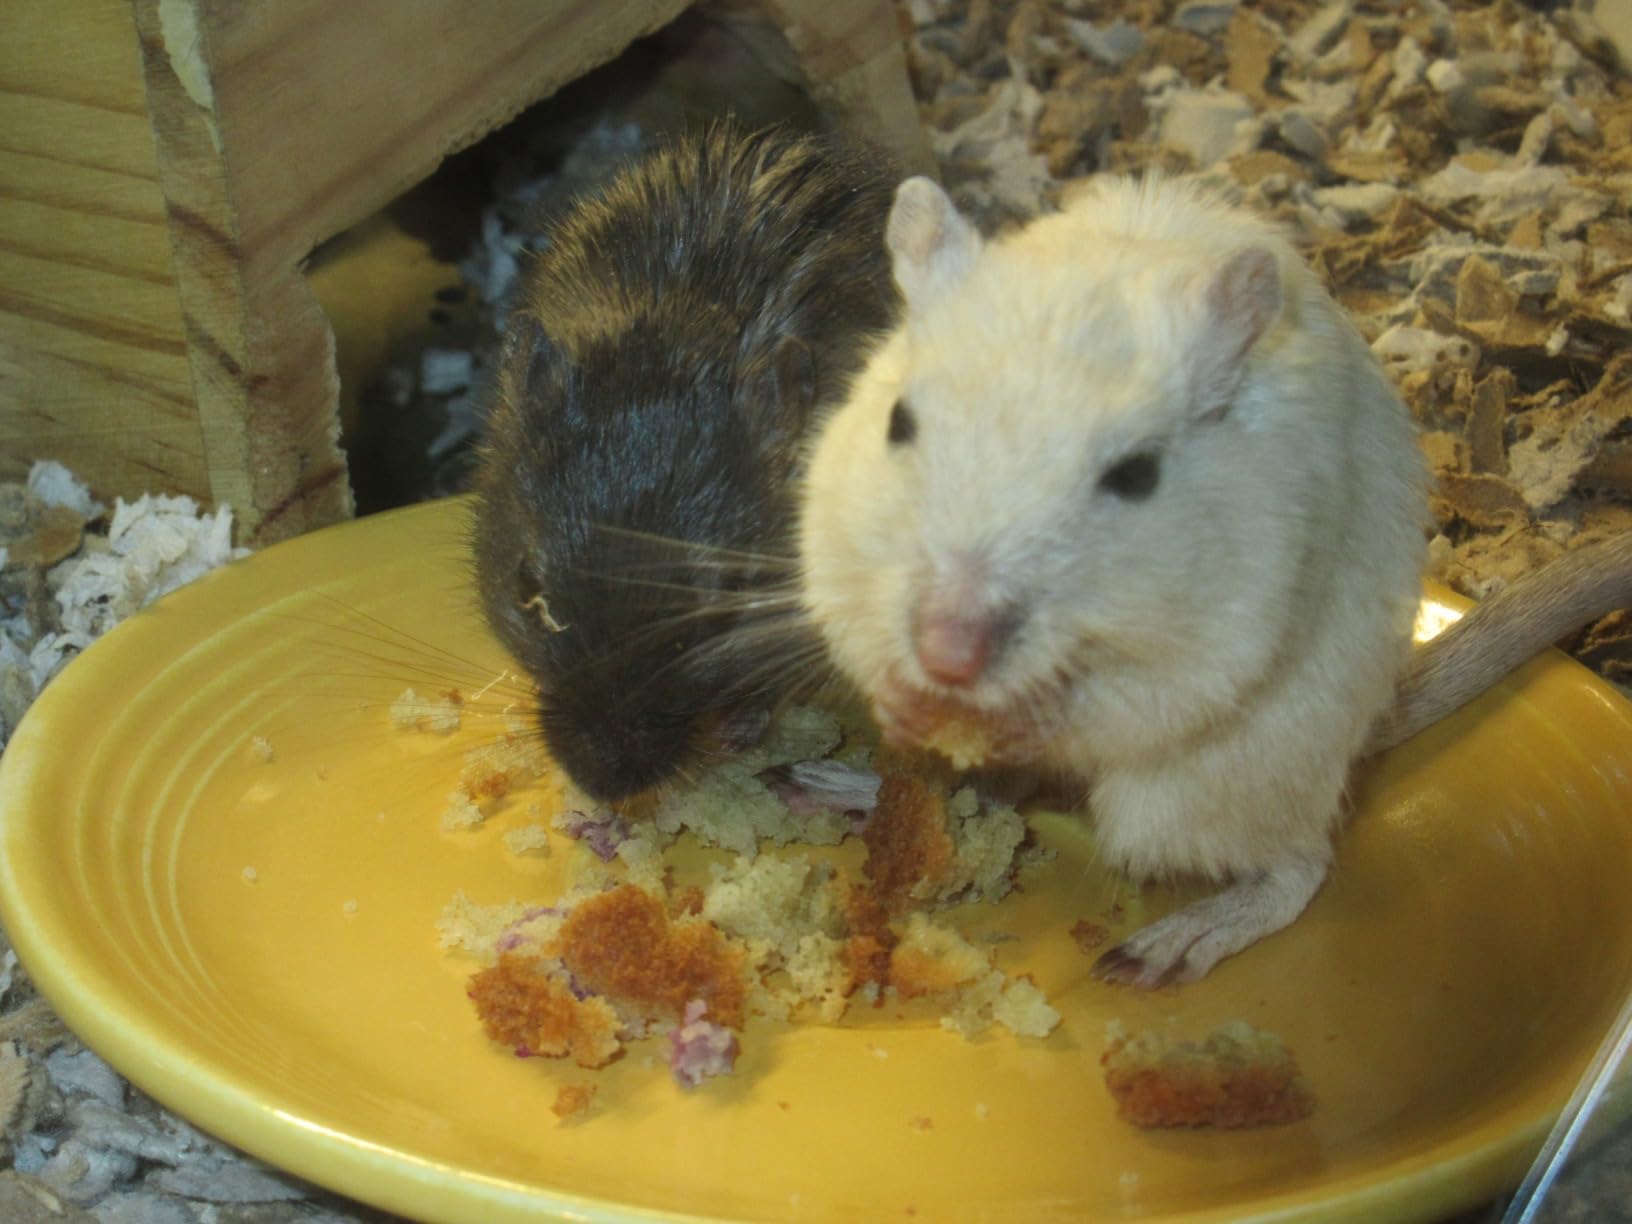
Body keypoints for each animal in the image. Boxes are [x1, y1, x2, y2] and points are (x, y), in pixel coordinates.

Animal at [799, 173, 1632, 989]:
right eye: (899, 423)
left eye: (1136, 475)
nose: (947, 657)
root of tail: (1375, 721)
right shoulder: (833, 556)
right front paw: (901, 706)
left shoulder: (1220, 641)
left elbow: (1132, 703)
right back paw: (833, 786)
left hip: (1213, 785)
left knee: (1297, 868)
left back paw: (1161, 951)